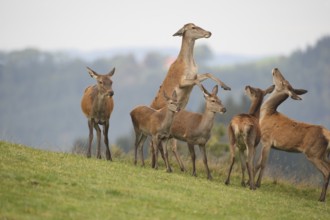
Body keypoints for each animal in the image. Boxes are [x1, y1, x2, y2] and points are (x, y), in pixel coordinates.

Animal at [150, 22, 229, 168]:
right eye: (192, 27)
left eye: (197, 24)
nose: (209, 32)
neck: (189, 64)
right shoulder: (182, 81)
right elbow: (197, 82)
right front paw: (205, 91)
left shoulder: (195, 75)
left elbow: (208, 73)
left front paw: (226, 86)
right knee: (159, 144)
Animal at [255, 68, 330, 202]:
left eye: (283, 82)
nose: (276, 69)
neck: (267, 114)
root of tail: (326, 133)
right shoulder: (267, 143)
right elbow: (258, 164)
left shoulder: (267, 140)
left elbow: (262, 164)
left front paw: (256, 184)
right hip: (324, 154)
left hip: (313, 153)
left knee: (326, 172)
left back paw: (321, 198)